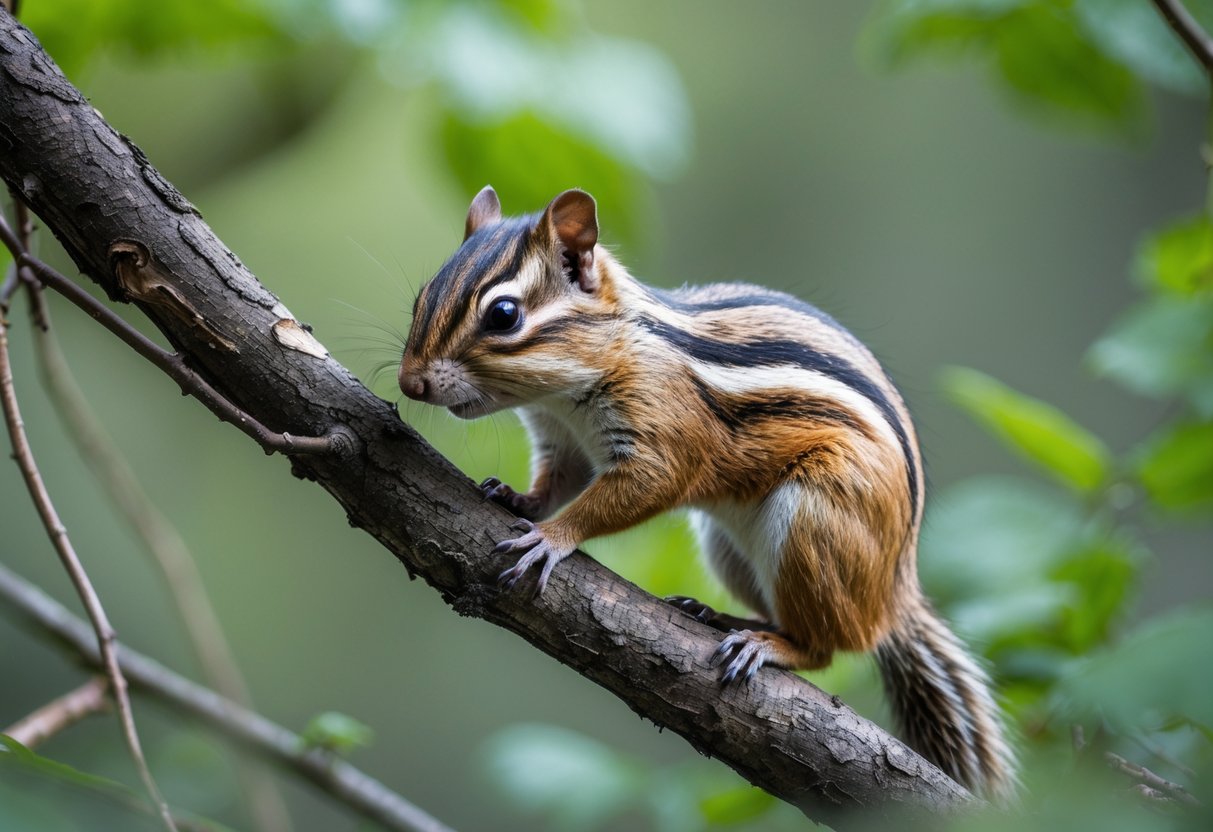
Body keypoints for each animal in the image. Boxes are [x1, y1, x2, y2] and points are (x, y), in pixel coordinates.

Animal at [398, 186, 1017, 801]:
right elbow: (556, 484)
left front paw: (550, 538)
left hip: (813, 524)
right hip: (727, 550)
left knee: (828, 646)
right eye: (422, 296)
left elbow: (641, 487)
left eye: (503, 315)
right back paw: (723, 618)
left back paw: (766, 645)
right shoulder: (562, 441)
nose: (410, 383)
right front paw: (516, 498)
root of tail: (894, 592)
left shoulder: (662, 430)